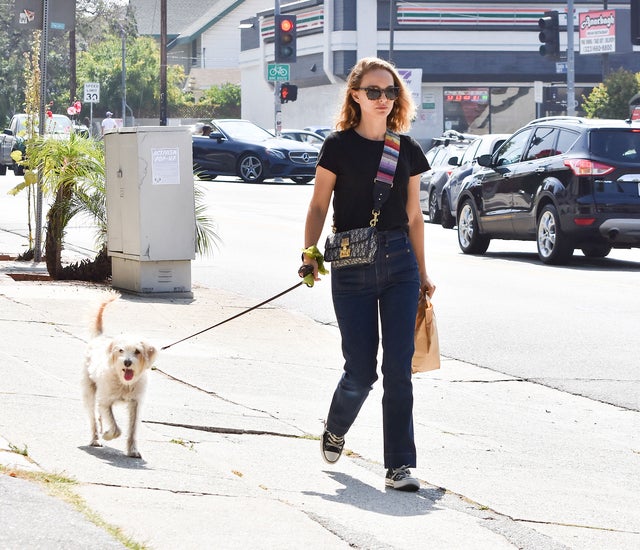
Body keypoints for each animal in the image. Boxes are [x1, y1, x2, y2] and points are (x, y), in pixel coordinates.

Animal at [82, 294, 158, 462]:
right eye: (121, 350)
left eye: (137, 351)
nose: (127, 362)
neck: (125, 383)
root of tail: (100, 336)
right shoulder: (106, 401)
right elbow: (116, 428)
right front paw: (107, 435)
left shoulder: (135, 404)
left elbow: (132, 429)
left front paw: (133, 450)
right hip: (90, 392)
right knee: (93, 416)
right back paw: (96, 438)